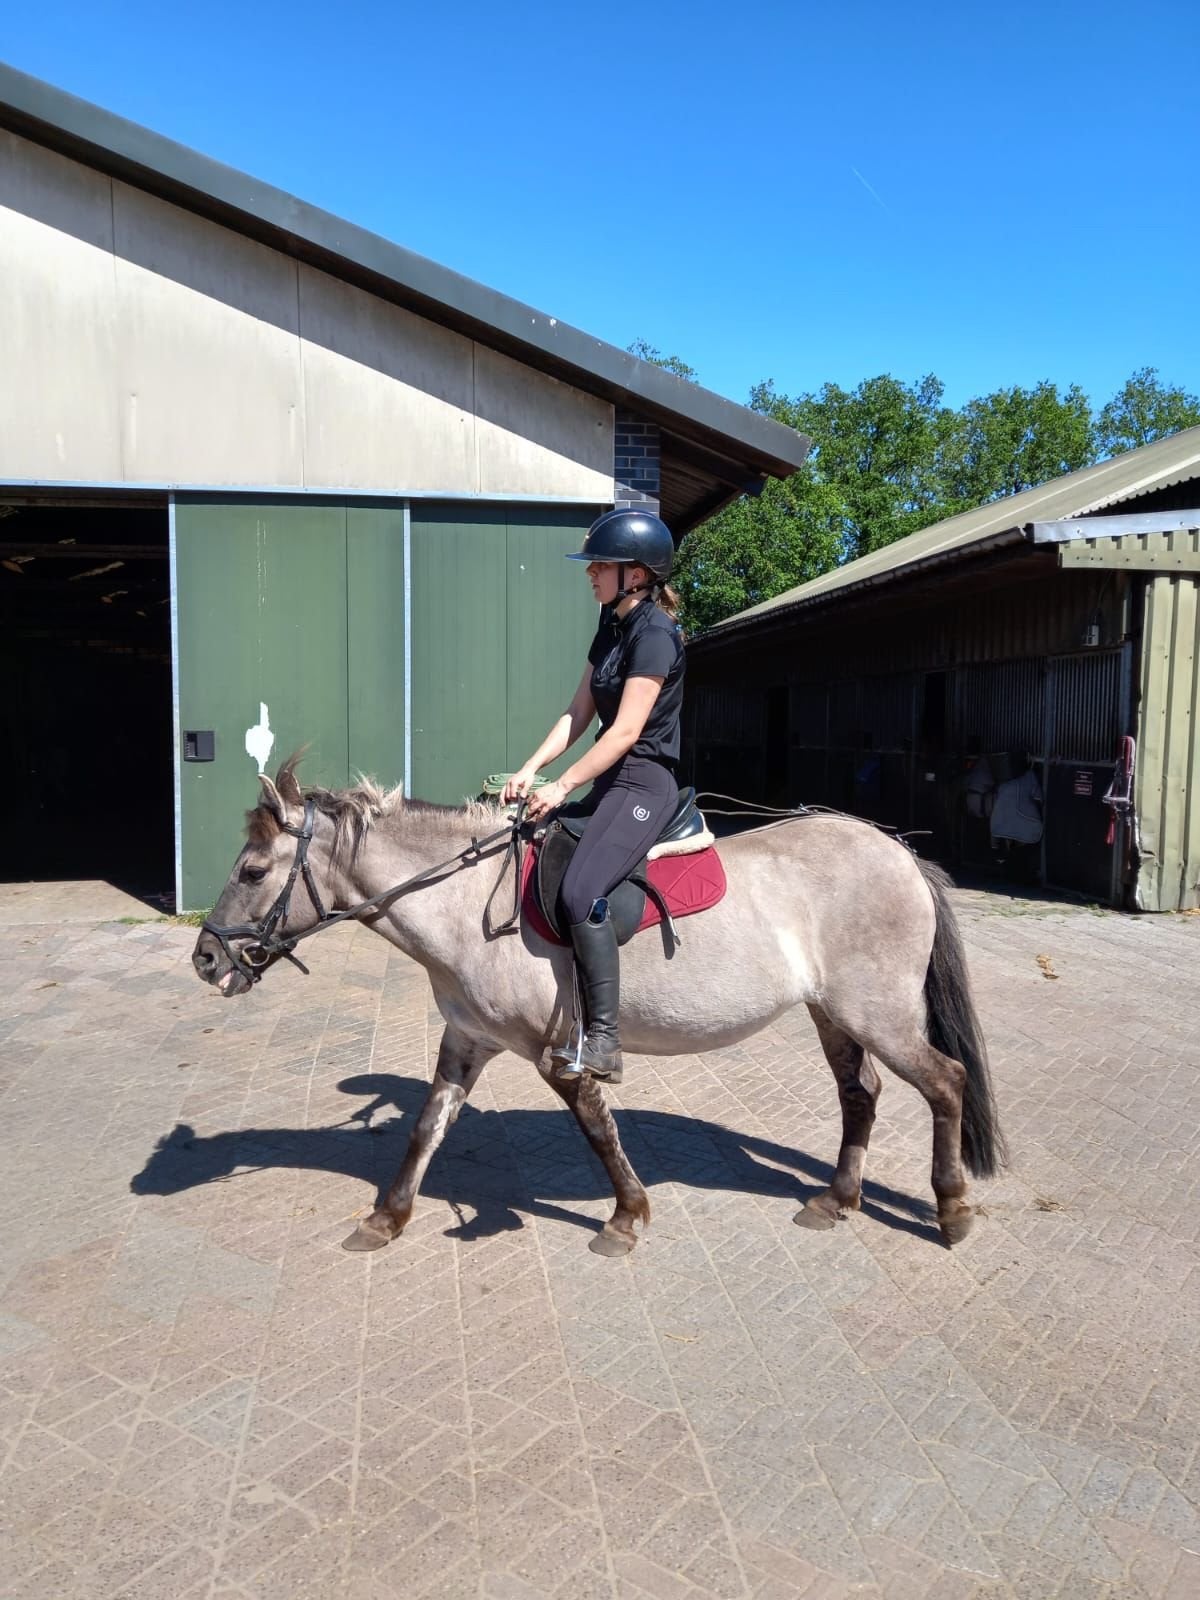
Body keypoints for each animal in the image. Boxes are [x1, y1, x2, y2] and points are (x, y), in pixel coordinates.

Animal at [191, 756, 1005, 1257]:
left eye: (253, 870)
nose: (205, 959)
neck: (463, 901)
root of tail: (898, 850)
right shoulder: (467, 1040)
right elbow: (427, 1127)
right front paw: (385, 1218)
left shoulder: (559, 1052)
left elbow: (597, 1129)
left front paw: (626, 1217)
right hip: (833, 1013)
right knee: (860, 1094)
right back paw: (836, 1200)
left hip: (879, 1014)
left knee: (945, 1083)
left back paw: (952, 1210)